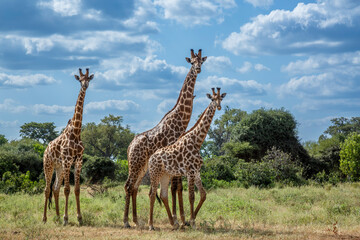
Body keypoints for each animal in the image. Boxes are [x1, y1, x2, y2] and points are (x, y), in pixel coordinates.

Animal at [42, 68, 94, 226]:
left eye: (88, 78)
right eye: (80, 80)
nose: (85, 85)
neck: (76, 132)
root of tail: (45, 150)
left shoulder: (78, 161)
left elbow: (76, 189)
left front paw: (79, 218)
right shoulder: (67, 160)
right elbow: (67, 189)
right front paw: (66, 218)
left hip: (58, 168)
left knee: (55, 188)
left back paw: (57, 217)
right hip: (48, 165)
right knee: (47, 189)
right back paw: (45, 218)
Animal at [124, 49, 207, 229]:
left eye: (201, 62)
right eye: (192, 62)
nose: (198, 69)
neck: (179, 120)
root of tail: (129, 146)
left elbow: (177, 188)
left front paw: (181, 220)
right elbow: (176, 187)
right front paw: (179, 220)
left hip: (142, 167)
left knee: (134, 187)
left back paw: (136, 220)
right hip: (135, 164)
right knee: (128, 186)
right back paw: (126, 221)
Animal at [148, 87, 226, 230]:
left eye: (221, 98)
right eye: (212, 99)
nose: (218, 106)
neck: (197, 141)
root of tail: (151, 158)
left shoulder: (197, 171)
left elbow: (203, 194)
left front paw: (190, 221)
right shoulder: (190, 171)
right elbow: (191, 196)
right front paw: (192, 223)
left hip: (165, 175)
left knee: (163, 195)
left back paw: (174, 224)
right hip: (155, 173)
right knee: (152, 194)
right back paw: (151, 225)